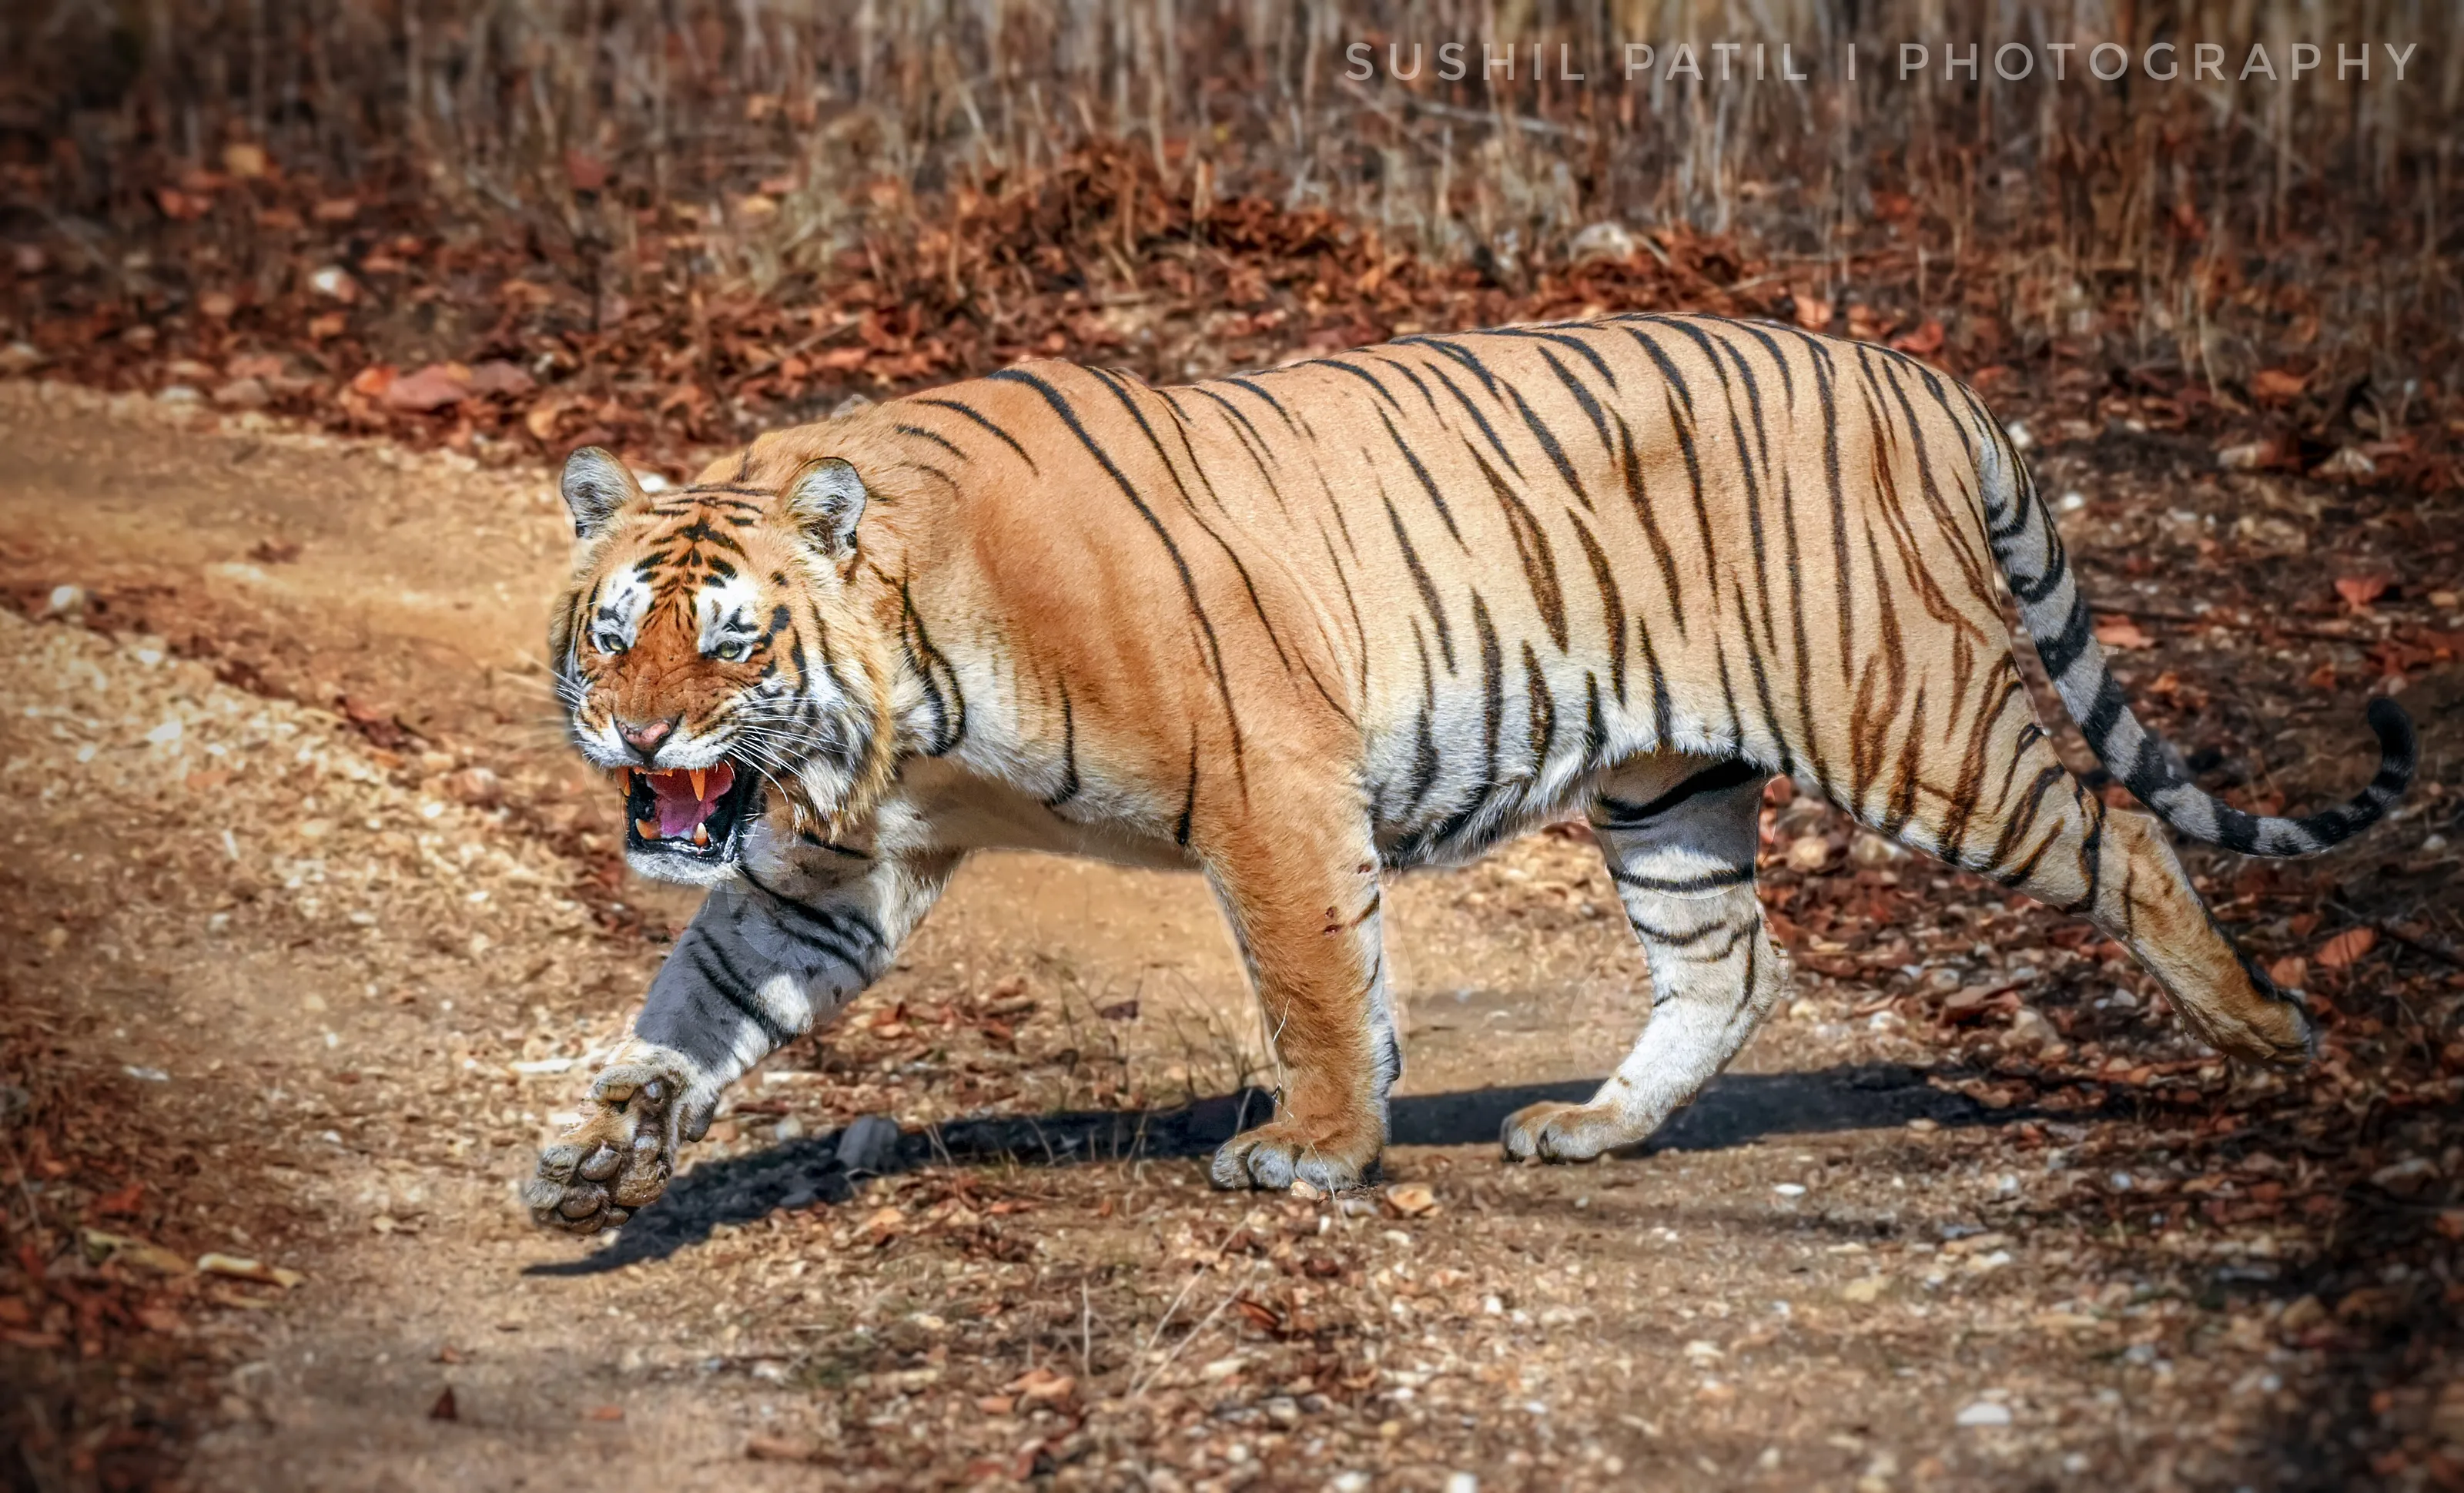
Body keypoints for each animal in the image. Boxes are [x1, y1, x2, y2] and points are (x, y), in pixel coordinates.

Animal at [522, 312, 2414, 1233]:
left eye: (732, 645)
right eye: (612, 634)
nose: (638, 736)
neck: (897, 689)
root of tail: (1918, 371)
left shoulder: (1269, 781)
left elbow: (1313, 982)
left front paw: (1316, 1152)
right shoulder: (832, 866)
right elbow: (700, 997)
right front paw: (600, 1154)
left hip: (1910, 717)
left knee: (2118, 830)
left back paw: (2268, 1034)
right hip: (1669, 779)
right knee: (1734, 964)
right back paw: (1594, 1128)